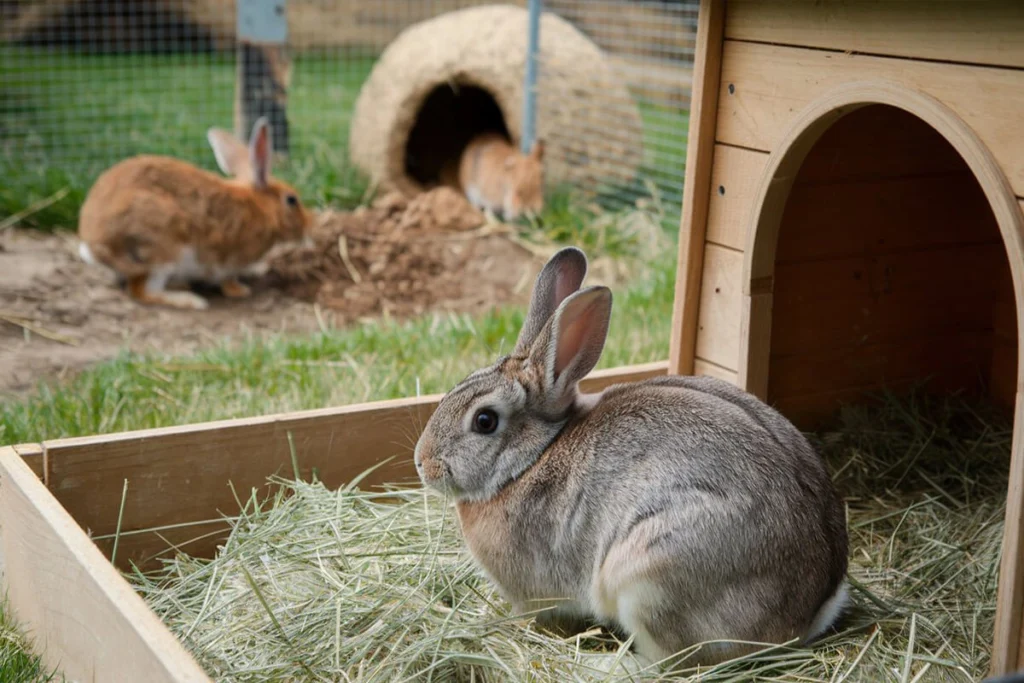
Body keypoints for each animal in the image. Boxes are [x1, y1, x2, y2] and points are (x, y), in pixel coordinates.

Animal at [77, 117, 311, 309]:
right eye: (292, 200)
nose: (308, 227)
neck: (260, 207)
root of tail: (98, 244)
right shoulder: (226, 259)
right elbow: (226, 277)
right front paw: (239, 290)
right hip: (164, 249)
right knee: (142, 291)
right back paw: (191, 300)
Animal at [411, 245, 851, 667]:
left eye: (484, 421)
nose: (422, 463)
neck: (531, 460)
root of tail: (808, 612)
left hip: (649, 574)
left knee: (673, 663)